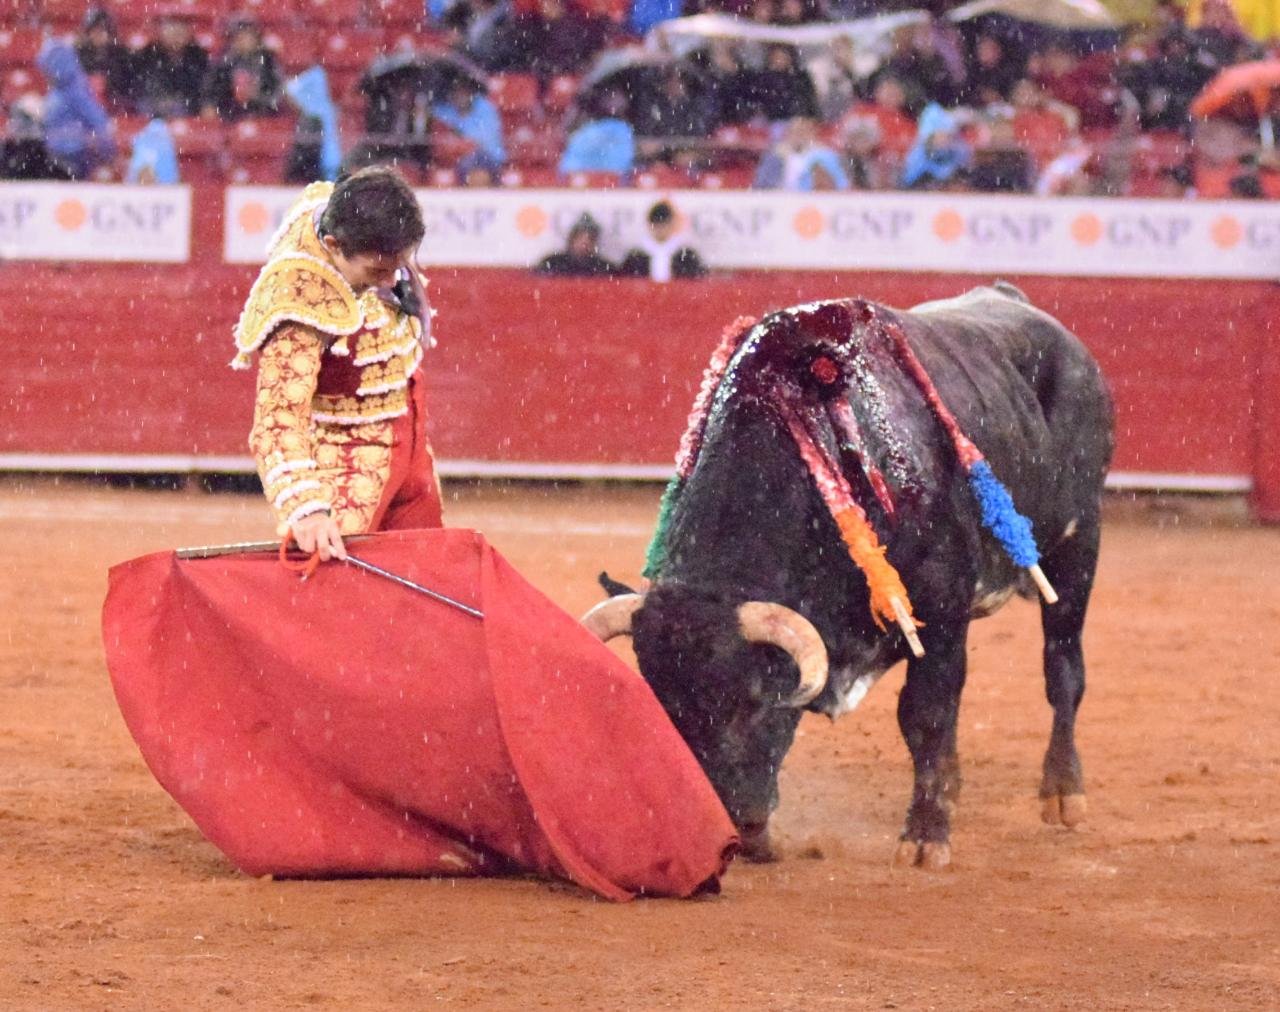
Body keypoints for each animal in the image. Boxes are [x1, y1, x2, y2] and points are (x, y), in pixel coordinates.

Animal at [583, 284, 1114, 870]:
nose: (728, 828)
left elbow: (925, 713)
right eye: (660, 703)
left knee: (1063, 666)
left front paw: (925, 837)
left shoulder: (941, 609)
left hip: (1079, 543)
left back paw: (1063, 793)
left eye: (754, 703)